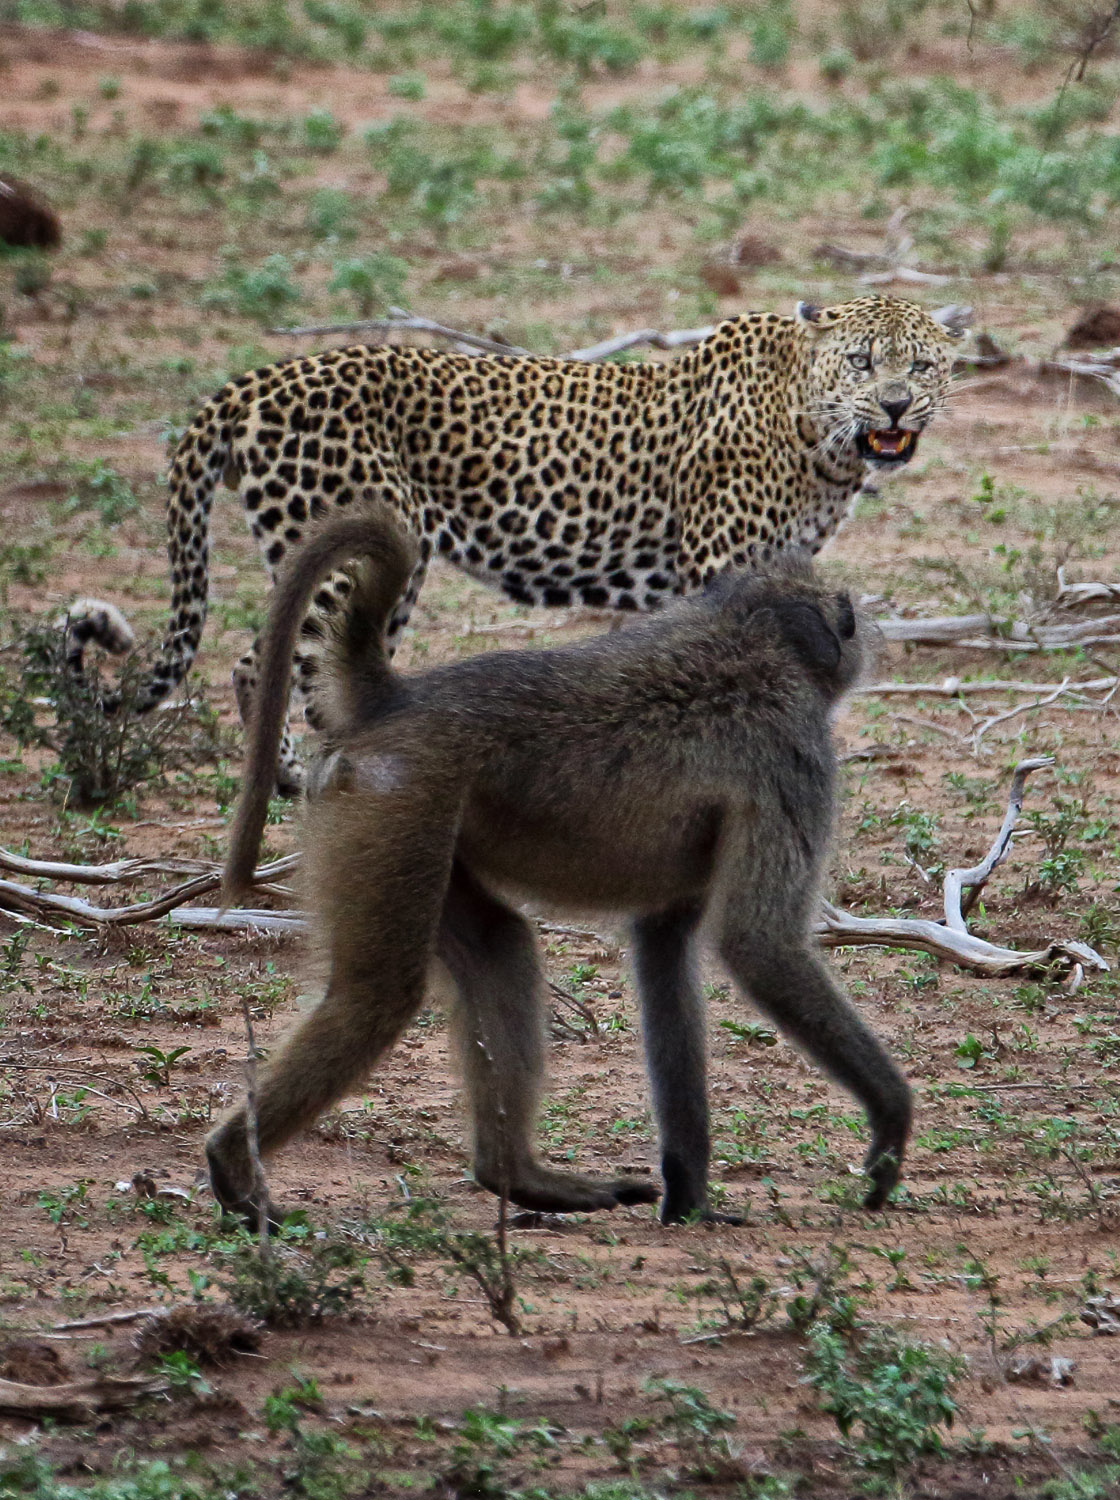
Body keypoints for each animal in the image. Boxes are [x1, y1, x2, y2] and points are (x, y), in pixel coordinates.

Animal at [76, 295, 962, 791]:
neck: (819, 436)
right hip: (358, 550)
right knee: (275, 661)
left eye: (921, 365)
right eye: (862, 361)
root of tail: (252, 381)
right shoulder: (722, 567)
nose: (893, 404)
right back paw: (310, 781)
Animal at [207, 508, 912, 1228]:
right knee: (375, 996)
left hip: (408, 822)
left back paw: (520, 1177)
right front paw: (890, 1124)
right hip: (396, 804)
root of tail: (397, 698)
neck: (752, 636)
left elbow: (663, 950)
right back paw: (234, 1168)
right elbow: (760, 944)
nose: (865, 628)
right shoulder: (793, 755)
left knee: (500, 949)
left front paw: (690, 1201)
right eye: (842, 612)